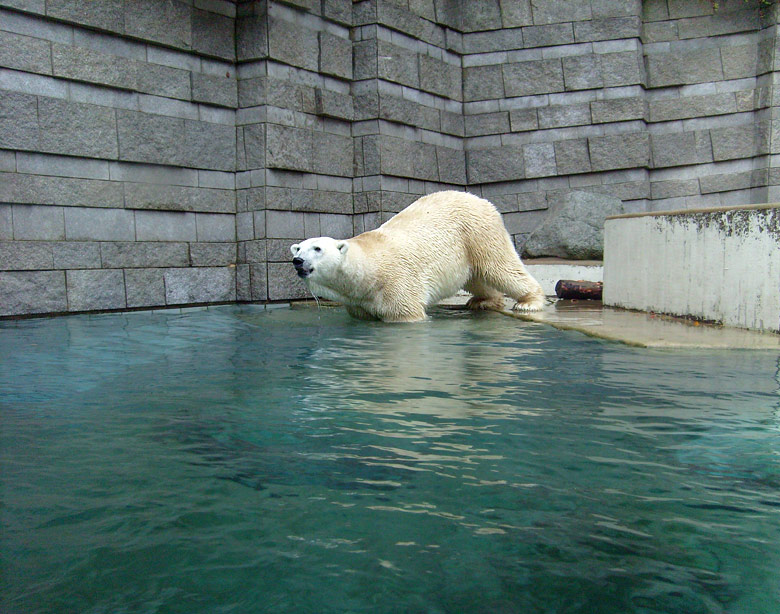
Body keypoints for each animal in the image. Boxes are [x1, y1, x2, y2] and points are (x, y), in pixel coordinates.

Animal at [290, 192, 544, 324]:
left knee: (500, 266)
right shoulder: (359, 303)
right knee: (476, 277)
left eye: (317, 248)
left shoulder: (397, 287)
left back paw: (529, 302)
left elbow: (406, 313)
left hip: (478, 232)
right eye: (298, 249)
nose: (298, 262)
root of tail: (481, 200)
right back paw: (484, 301)